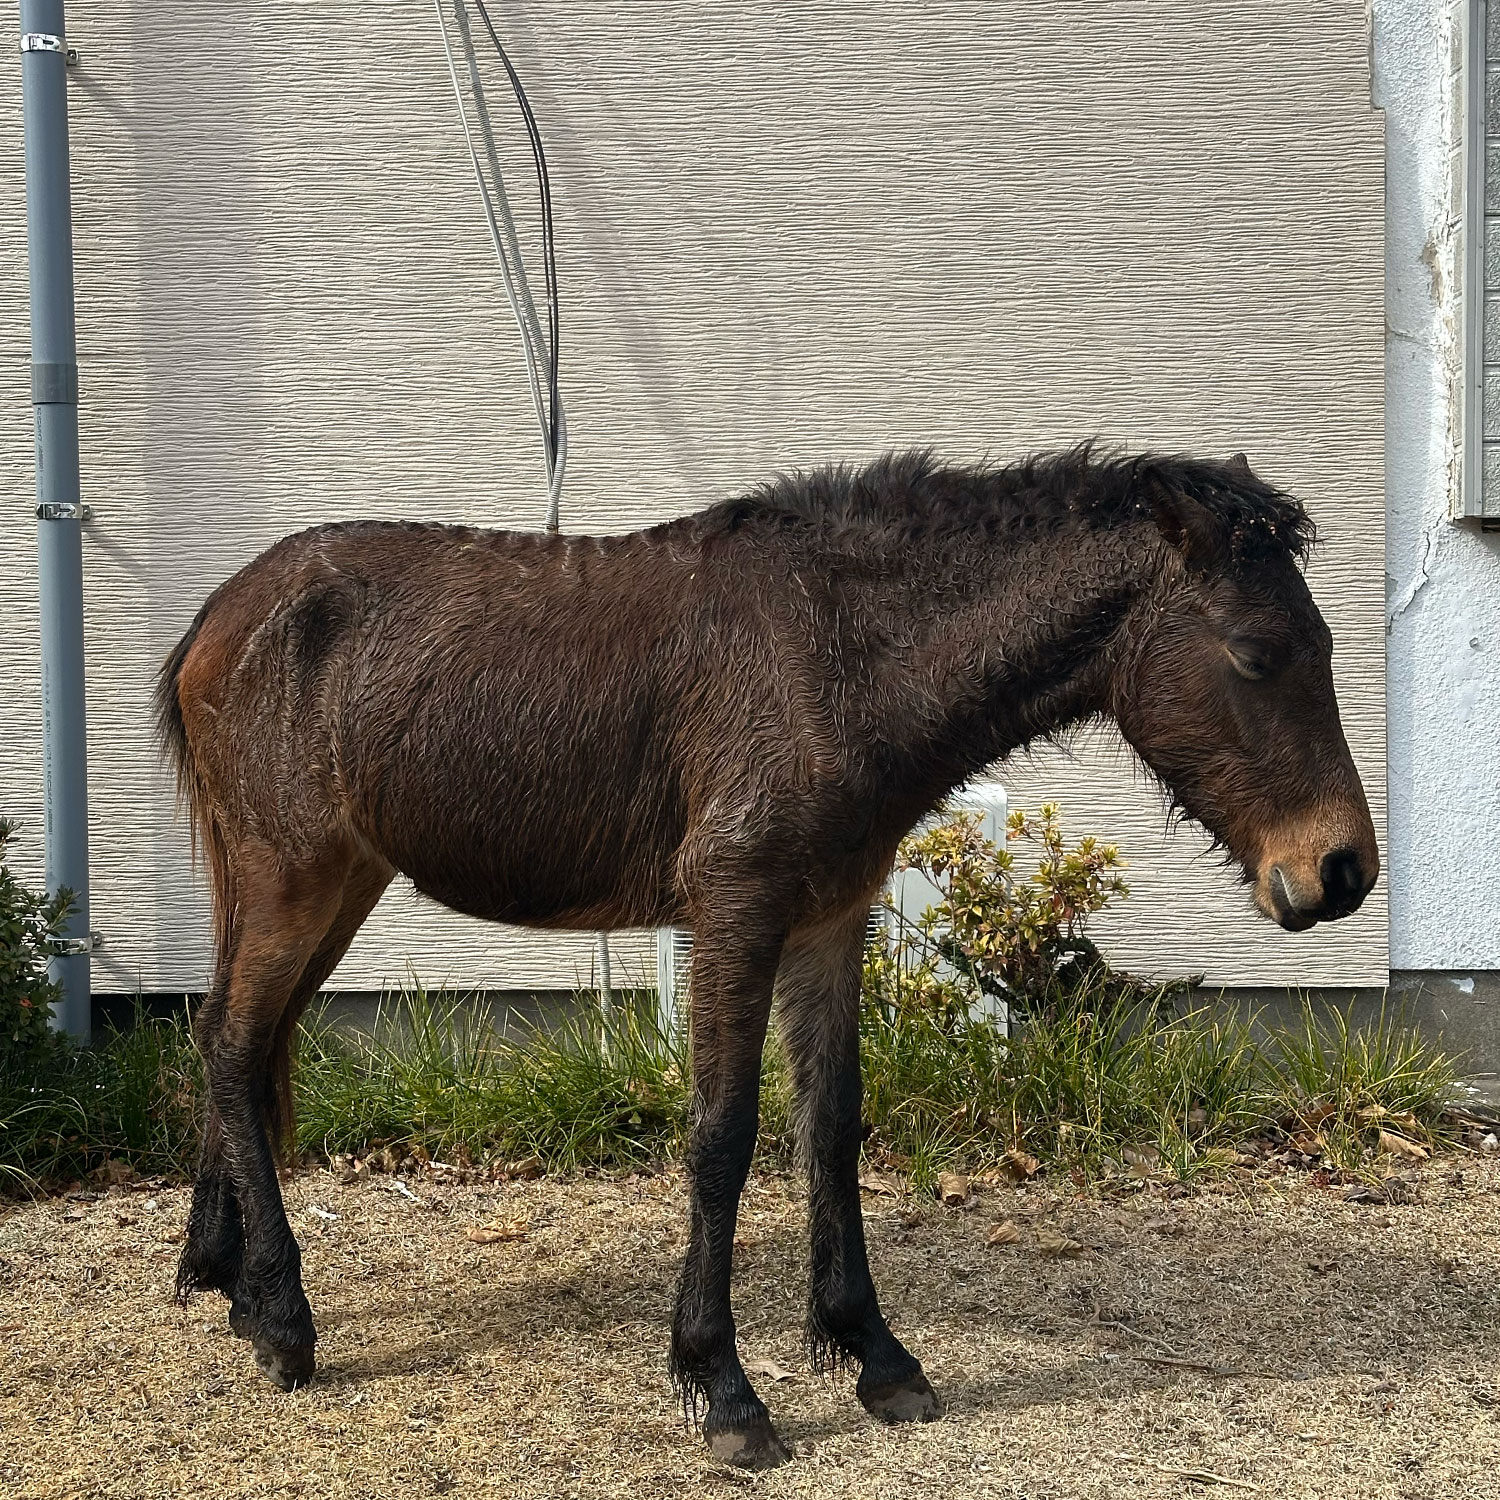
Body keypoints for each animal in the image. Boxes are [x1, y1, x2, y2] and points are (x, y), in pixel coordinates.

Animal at [158, 444, 1374, 1464]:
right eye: (1258, 655)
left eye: (1323, 647)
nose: (1342, 870)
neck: (838, 659)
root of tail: (218, 614)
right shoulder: (737, 910)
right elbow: (724, 1135)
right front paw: (723, 1386)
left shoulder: (831, 918)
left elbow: (829, 1126)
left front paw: (873, 1353)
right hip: (293, 872)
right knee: (234, 1043)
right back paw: (281, 1315)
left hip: (332, 882)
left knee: (239, 1038)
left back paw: (221, 1277)